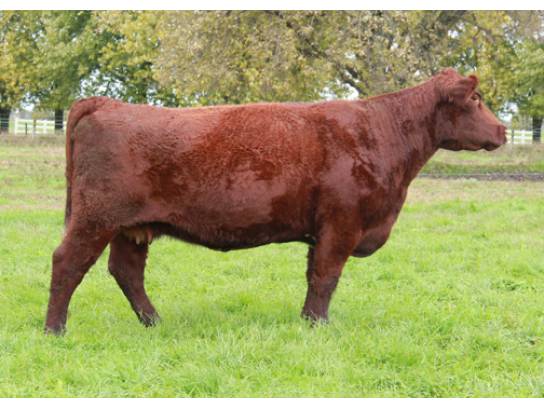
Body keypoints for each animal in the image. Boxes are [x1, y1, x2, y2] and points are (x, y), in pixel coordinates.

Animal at [45, 68, 507, 334]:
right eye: (476, 100)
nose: (503, 131)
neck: (382, 133)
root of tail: (103, 103)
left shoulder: (323, 230)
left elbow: (314, 276)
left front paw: (307, 321)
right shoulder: (342, 222)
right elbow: (326, 277)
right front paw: (318, 327)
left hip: (132, 228)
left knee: (126, 272)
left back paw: (155, 323)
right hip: (96, 217)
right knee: (67, 263)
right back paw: (55, 330)